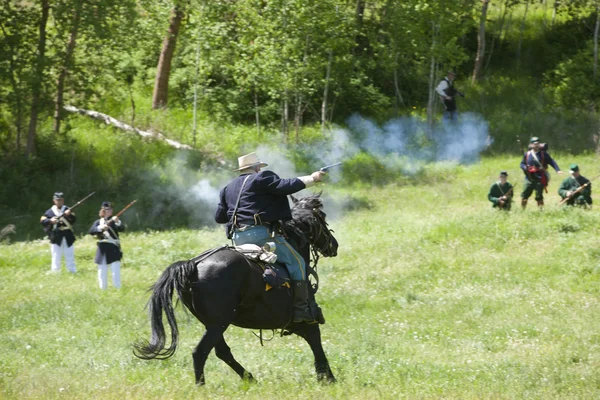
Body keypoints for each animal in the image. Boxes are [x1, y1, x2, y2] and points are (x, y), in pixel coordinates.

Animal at [134, 195, 338, 386]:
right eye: (322, 217)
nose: (334, 245)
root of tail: (193, 265)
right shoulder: (307, 320)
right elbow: (316, 344)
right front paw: (328, 378)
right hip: (218, 324)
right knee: (200, 352)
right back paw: (201, 386)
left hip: (213, 324)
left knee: (222, 352)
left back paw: (249, 378)